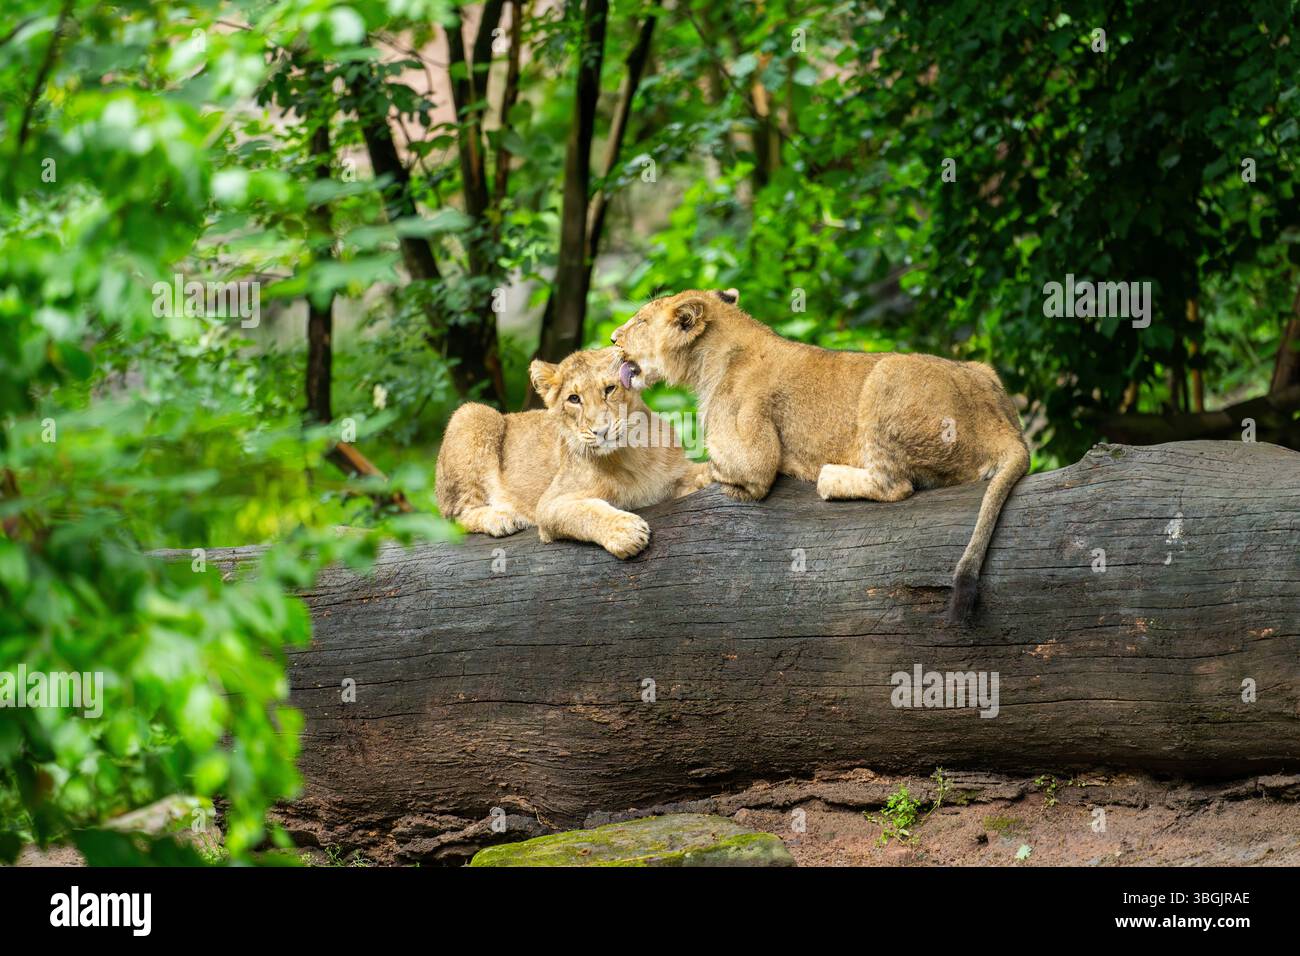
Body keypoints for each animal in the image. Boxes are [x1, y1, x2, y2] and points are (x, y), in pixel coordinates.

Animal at [435, 346, 711, 559]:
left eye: (609, 389)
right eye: (574, 399)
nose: (601, 431)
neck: (633, 453)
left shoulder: (678, 475)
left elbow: (699, 471)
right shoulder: (550, 505)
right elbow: (586, 512)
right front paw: (625, 531)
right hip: (472, 413)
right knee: (456, 516)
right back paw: (501, 517)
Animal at [611, 289, 1030, 623]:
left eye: (641, 320)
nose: (613, 338)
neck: (709, 360)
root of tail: (1002, 429)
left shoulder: (754, 456)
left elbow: (723, 468)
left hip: (886, 374)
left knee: (895, 485)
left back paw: (829, 478)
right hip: (982, 370)